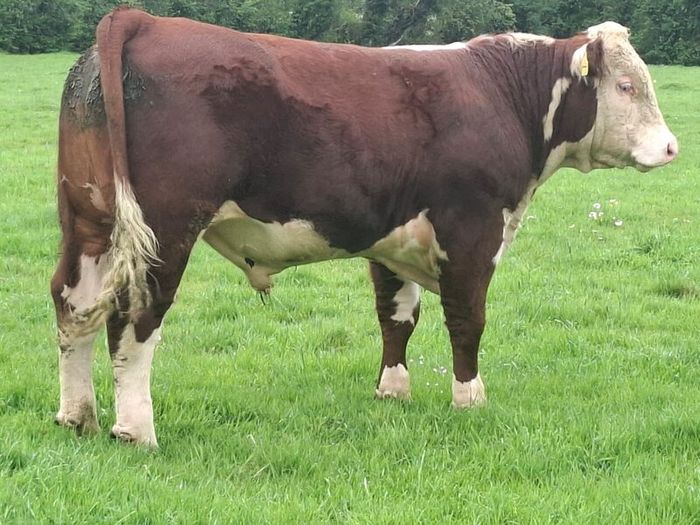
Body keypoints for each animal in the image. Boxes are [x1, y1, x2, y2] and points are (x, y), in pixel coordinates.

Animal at [52, 7, 677, 446]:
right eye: (626, 86)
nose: (672, 148)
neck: (504, 94)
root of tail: (145, 19)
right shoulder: (472, 231)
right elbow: (467, 319)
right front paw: (470, 400)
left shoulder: (393, 235)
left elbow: (396, 317)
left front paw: (392, 392)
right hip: (164, 229)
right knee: (135, 318)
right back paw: (135, 430)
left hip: (89, 221)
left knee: (73, 303)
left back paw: (77, 415)